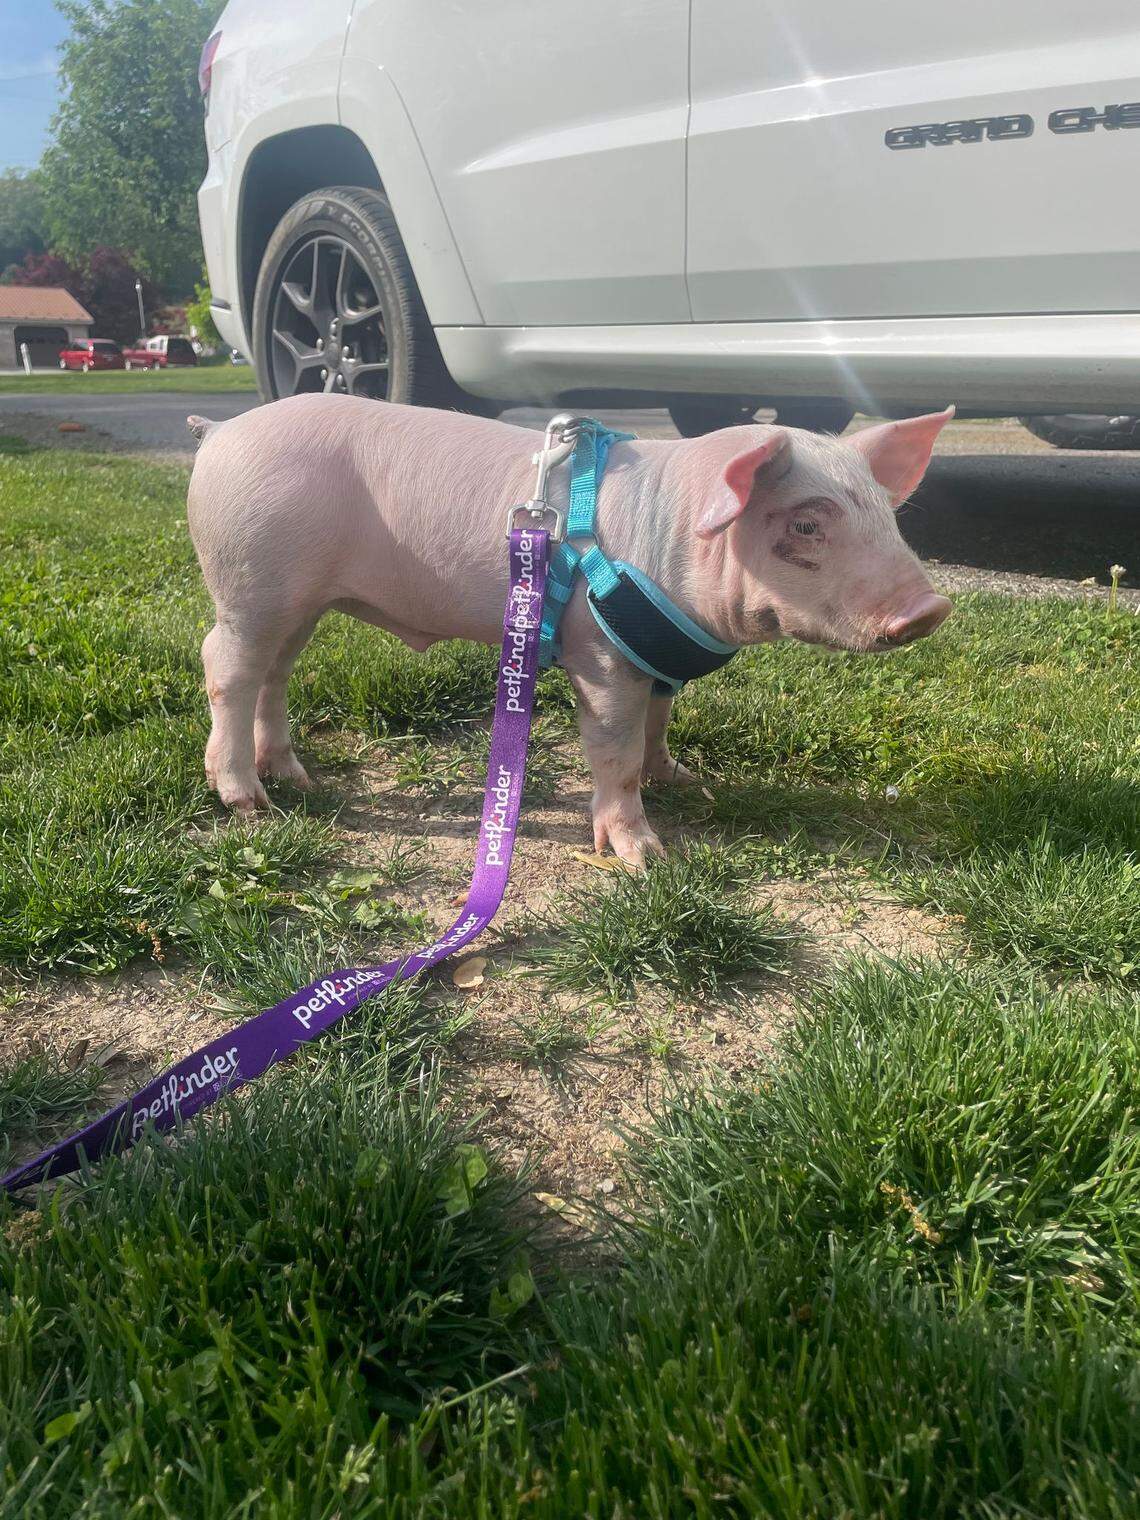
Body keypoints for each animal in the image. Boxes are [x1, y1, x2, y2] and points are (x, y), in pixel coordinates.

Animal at [186, 396, 952, 866]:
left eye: (886, 513)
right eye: (807, 524)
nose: (930, 609)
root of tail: (220, 430)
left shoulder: (660, 652)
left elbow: (658, 724)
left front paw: (683, 779)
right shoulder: (601, 652)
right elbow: (614, 747)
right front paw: (647, 856)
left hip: (300, 600)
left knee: (277, 672)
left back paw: (295, 777)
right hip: (250, 575)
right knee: (225, 664)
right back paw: (248, 802)